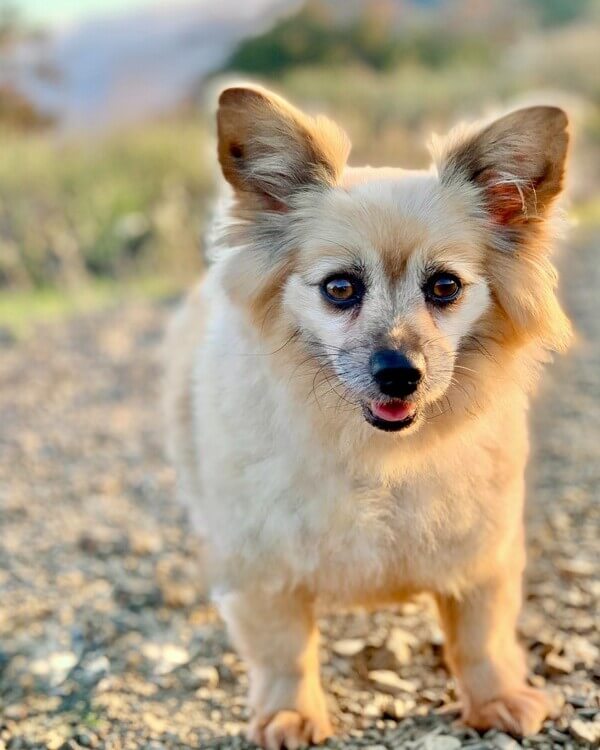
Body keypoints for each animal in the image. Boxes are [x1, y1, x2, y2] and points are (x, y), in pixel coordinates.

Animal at [164, 85, 572, 750]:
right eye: (340, 288)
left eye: (445, 287)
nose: (400, 372)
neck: (377, 456)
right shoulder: (263, 567)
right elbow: (283, 652)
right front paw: (291, 715)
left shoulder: (483, 553)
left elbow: (481, 639)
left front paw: (497, 701)